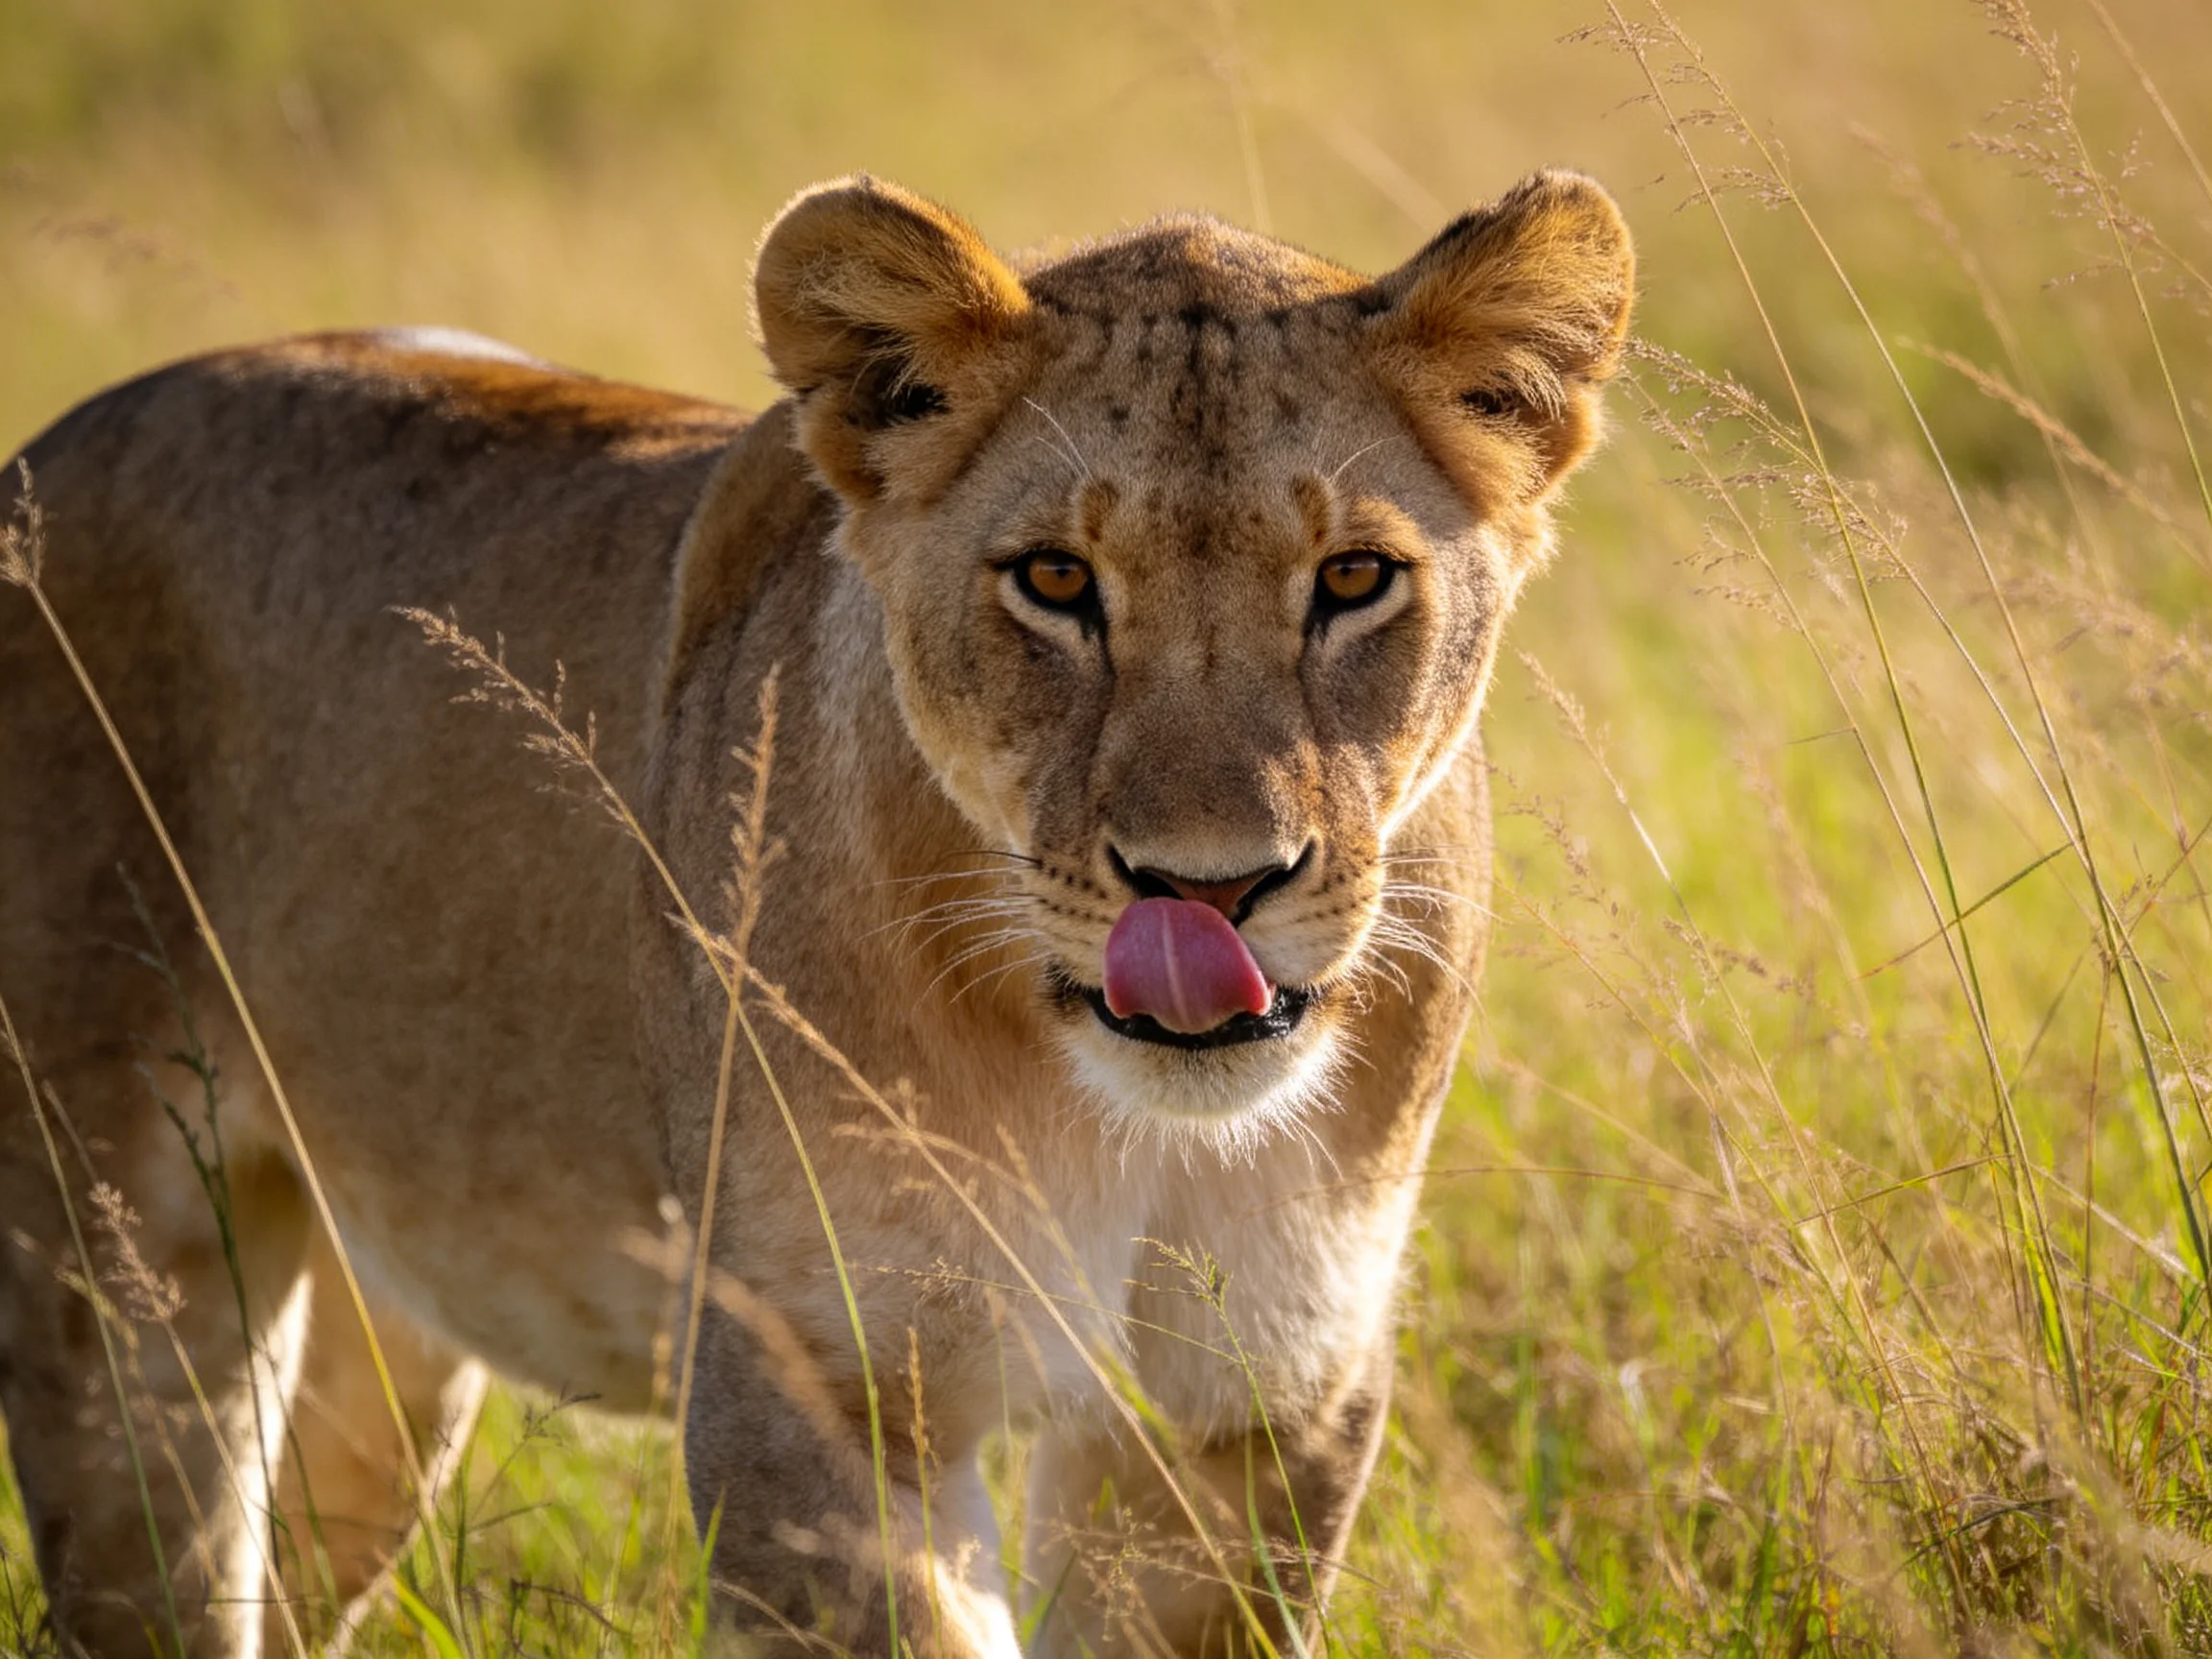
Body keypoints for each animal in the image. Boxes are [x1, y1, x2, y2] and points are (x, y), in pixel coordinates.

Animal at [0, 171, 1632, 1656]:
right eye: (1056, 580)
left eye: (1355, 577)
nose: (1207, 887)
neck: (1115, 1118)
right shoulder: (816, 1389)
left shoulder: (1257, 1407)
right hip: (118, 1285)